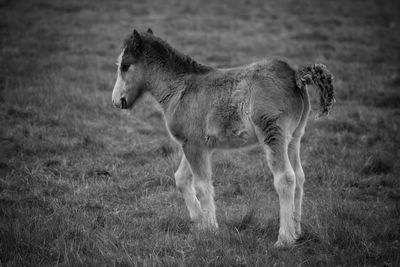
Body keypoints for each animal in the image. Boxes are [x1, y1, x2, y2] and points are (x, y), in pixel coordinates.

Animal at [111, 29, 334, 249]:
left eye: (125, 66)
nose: (116, 101)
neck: (180, 89)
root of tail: (294, 75)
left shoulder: (193, 146)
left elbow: (202, 185)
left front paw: (210, 230)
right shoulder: (196, 144)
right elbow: (181, 178)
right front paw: (199, 222)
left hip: (273, 133)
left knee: (285, 178)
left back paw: (284, 239)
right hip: (294, 137)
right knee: (299, 176)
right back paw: (297, 232)